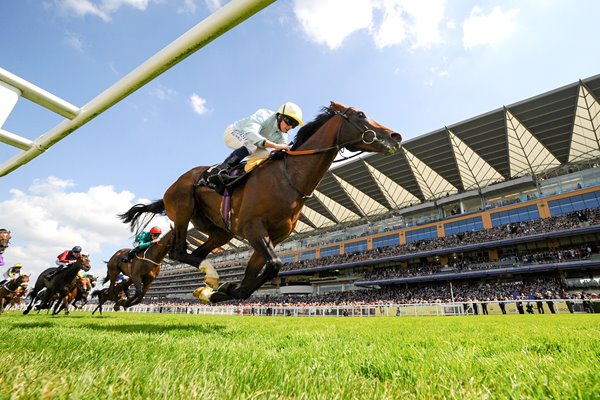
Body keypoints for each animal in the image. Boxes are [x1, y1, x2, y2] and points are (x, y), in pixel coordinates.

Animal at [119, 102, 400, 304]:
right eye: (361, 115)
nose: (395, 136)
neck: (288, 177)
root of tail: (174, 183)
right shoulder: (253, 228)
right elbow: (274, 265)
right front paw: (224, 290)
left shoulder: (270, 236)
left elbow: (258, 272)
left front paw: (221, 291)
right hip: (182, 209)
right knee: (178, 251)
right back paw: (210, 272)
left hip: (219, 230)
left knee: (196, 253)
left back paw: (210, 278)